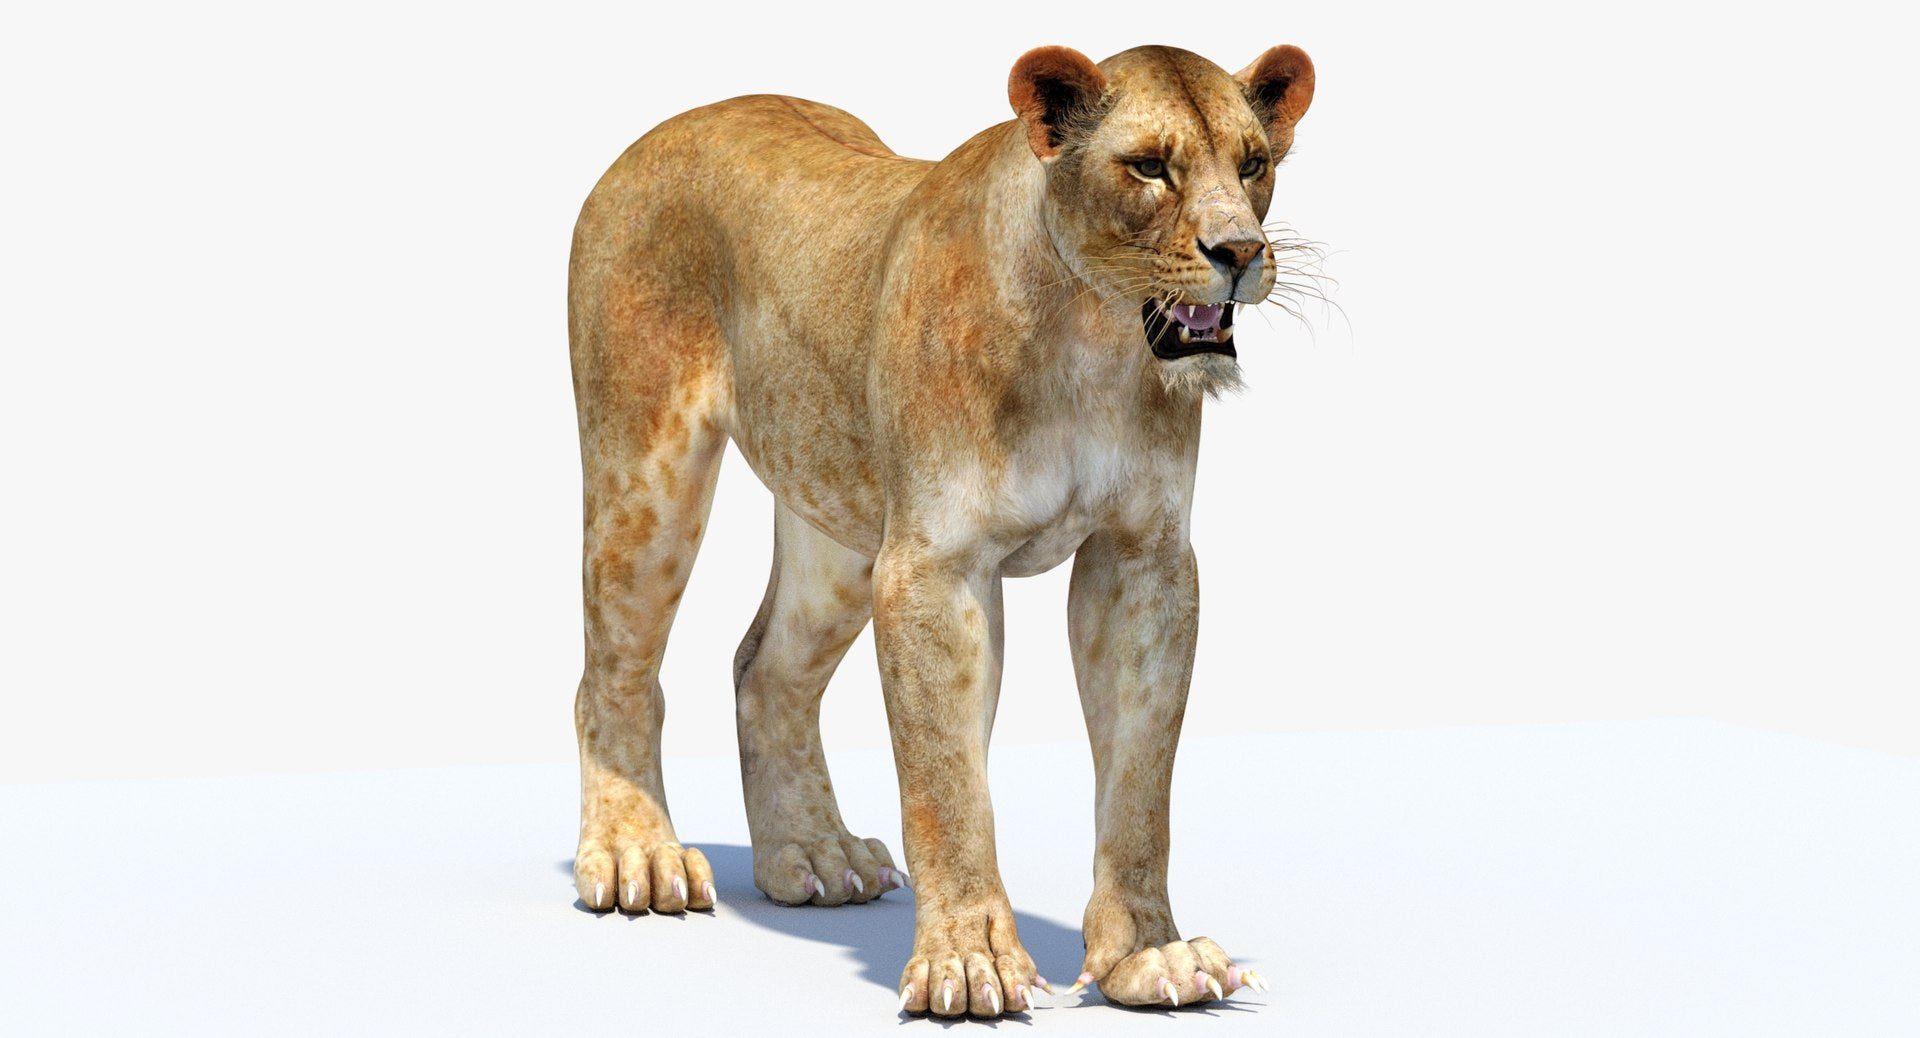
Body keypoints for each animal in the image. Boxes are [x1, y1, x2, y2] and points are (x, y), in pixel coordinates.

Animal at [565, 43, 1315, 1016]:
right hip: (648, 473)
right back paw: (636, 853)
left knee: (764, 666)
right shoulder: (934, 569)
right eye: (1150, 166)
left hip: (842, 524)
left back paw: (815, 855)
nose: (1240, 251)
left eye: (1253, 163)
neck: (1095, 340)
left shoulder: (1143, 560)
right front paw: (968, 961)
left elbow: (1140, 776)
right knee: (613, 673)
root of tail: (666, 129)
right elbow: (947, 782)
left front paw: (1149, 957)